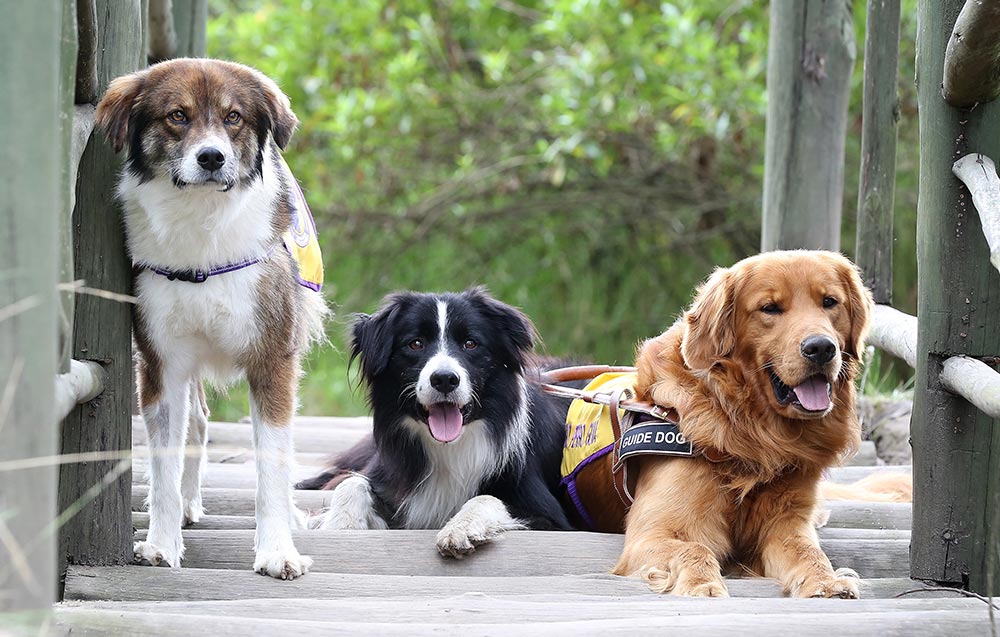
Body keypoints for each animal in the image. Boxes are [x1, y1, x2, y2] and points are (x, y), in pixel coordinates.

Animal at [96, 58, 326, 576]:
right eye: (177, 116)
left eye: (233, 117)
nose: (212, 158)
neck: (202, 227)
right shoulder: (162, 363)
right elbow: (166, 461)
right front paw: (161, 544)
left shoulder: (272, 361)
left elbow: (272, 463)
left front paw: (277, 550)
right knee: (197, 423)